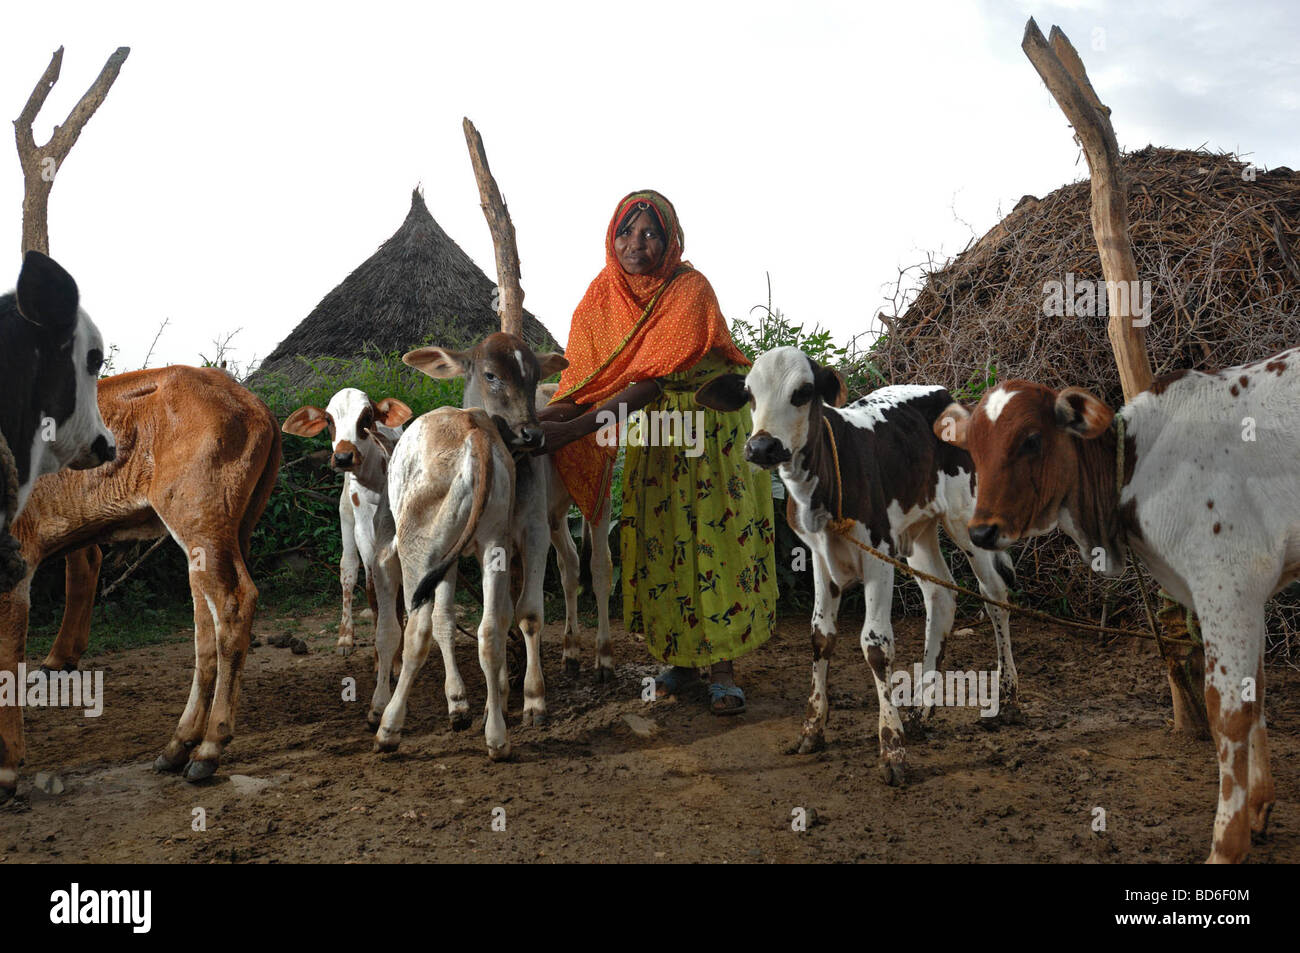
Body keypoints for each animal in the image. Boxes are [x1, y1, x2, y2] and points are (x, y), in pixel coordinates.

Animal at [696, 345, 1019, 785]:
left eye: (804, 392)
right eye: (749, 395)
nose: (762, 447)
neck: (821, 487)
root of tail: (946, 394)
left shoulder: (877, 553)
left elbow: (876, 646)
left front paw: (892, 748)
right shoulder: (818, 554)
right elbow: (820, 636)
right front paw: (813, 729)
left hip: (965, 518)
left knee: (995, 596)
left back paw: (1008, 698)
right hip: (917, 529)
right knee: (940, 596)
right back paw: (922, 709)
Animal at [941, 343, 1300, 863]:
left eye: (1031, 439)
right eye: (971, 449)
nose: (982, 531)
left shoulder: (1228, 582)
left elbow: (1229, 710)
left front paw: (1226, 846)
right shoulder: (1246, 595)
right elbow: (1258, 690)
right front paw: (1258, 809)